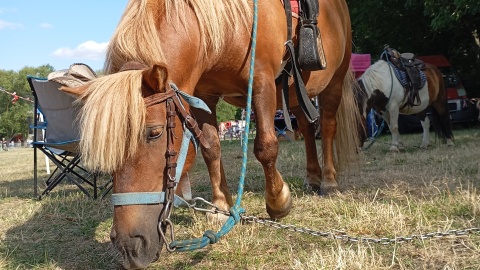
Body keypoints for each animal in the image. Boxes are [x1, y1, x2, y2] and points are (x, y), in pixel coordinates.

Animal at [62, 0, 360, 268]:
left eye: (154, 133)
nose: (128, 246)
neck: (232, 23)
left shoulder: (262, 81)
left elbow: (265, 147)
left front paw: (278, 202)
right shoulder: (204, 94)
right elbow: (210, 148)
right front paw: (219, 207)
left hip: (333, 81)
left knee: (327, 126)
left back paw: (328, 181)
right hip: (298, 93)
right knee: (308, 129)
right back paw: (312, 176)